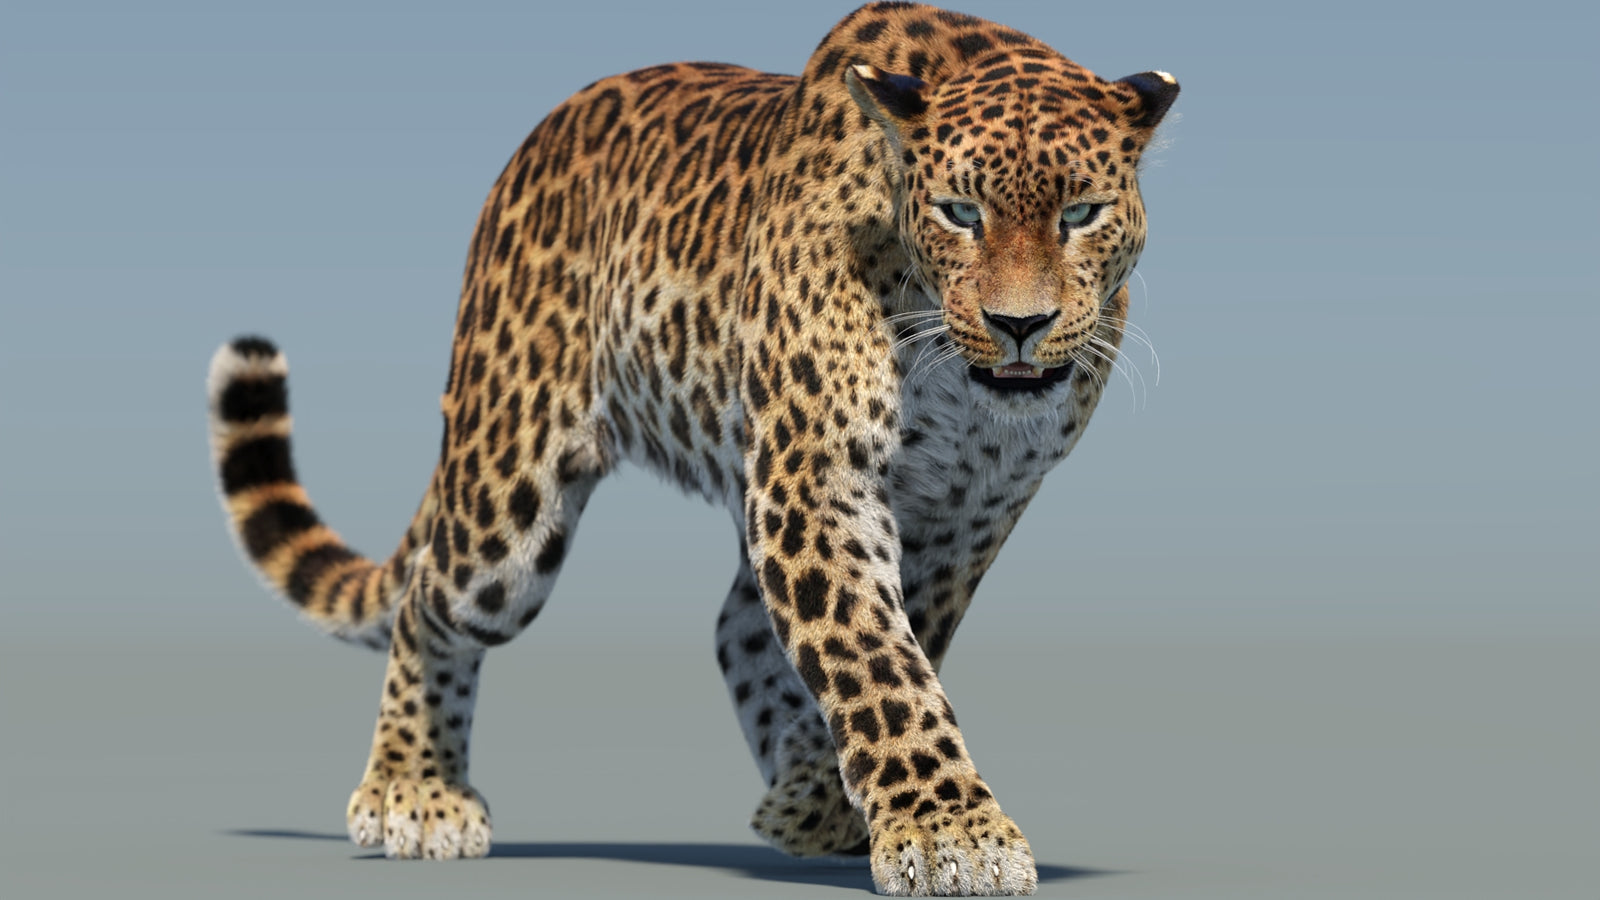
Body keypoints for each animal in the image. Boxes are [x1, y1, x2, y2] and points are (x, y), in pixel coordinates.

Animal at [205, 3, 1177, 895]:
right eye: (959, 212)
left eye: (1082, 213)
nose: (1021, 325)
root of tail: (533, 142)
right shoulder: (817, 480)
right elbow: (874, 658)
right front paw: (951, 834)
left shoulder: (966, 513)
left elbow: (899, 645)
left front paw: (842, 802)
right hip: (508, 499)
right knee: (428, 602)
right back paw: (413, 791)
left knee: (737, 627)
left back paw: (797, 790)